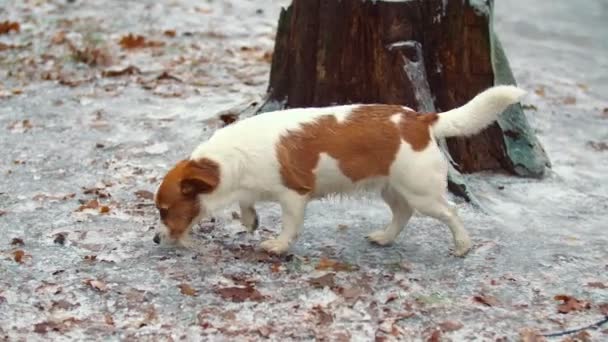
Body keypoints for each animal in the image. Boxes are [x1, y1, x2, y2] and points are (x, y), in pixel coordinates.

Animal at [154, 85, 524, 256]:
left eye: (165, 211)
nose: (156, 239)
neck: (224, 162)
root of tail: (421, 120)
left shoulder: (293, 196)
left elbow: (289, 226)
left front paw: (279, 245)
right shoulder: (249, 187)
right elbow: (247, 203)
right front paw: (250, 220)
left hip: (422, 193)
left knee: (450, 212)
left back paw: (462, 245)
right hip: (392, 188)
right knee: (402, 213)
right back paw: (385, 237)